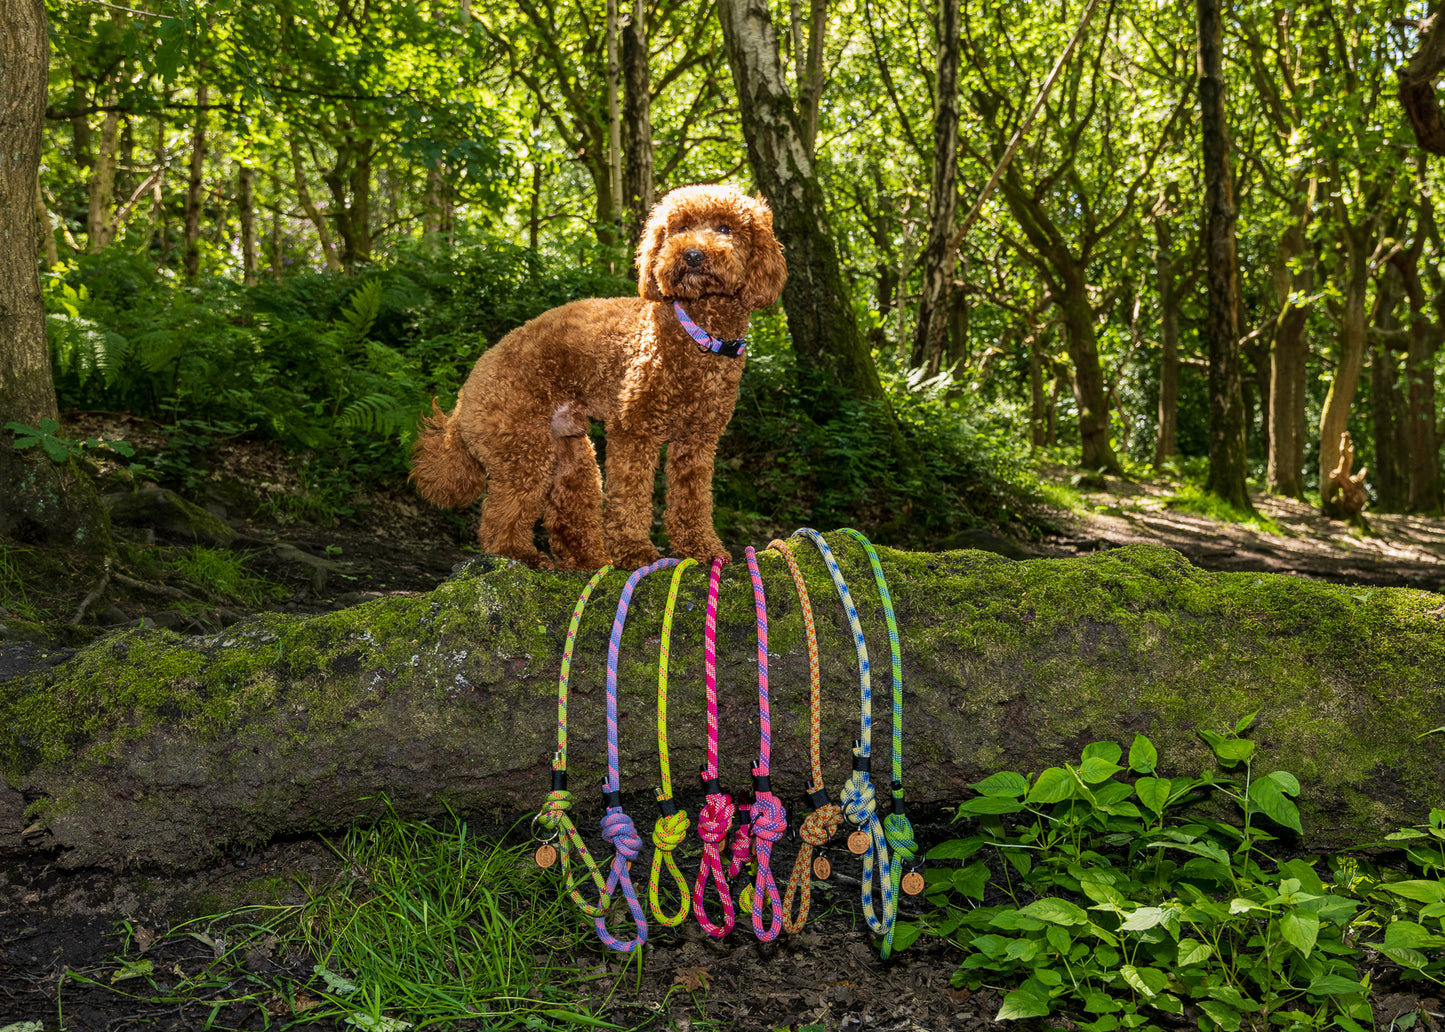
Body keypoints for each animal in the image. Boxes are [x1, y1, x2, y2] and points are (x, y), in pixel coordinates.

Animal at [413, 186, 786, 569]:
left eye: (725, 228)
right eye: (678, 228)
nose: (693, 255)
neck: (698, 334)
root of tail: (465, 394)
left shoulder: (697, 440)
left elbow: (693, 500)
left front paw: (701, 548)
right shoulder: (634, 430)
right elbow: (630, 496)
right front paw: (636, 552)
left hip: (572, 456)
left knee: (566, 514)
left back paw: (590, 560)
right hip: (523, 449)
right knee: (501, 515)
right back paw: (520, 554)